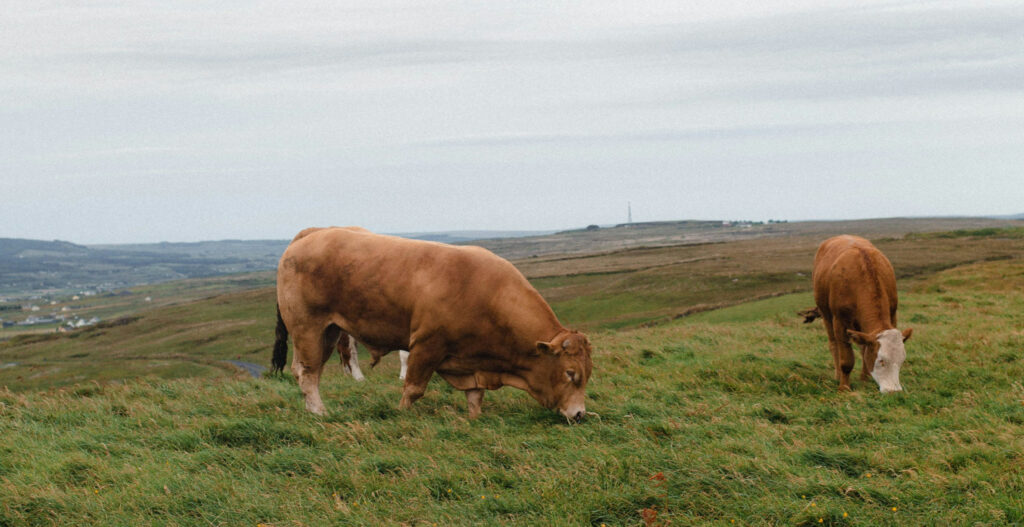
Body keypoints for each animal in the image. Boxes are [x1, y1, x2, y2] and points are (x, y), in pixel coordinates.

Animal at [270, 226, 593, 421]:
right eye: (570, 373)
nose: (579, 414)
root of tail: (313, 233)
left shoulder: (472, 361)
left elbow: (475, 394)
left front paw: (474, 418)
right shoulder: (427, 345)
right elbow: (413, 388)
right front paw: (402, 414)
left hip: (329, 332)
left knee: (309, 371)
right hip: (309, 329)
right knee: (307, 373)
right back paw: (319, 412)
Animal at [798, 235, 913, 390]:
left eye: (901, 361)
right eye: (881, 360)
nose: (894, 391)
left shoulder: (892, 315)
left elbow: (865, 350)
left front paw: (865, 379)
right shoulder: (840, 322)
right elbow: (846, 360)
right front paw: (844, 387)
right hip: (826, 314)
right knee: (833, 344)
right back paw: (837, 375)